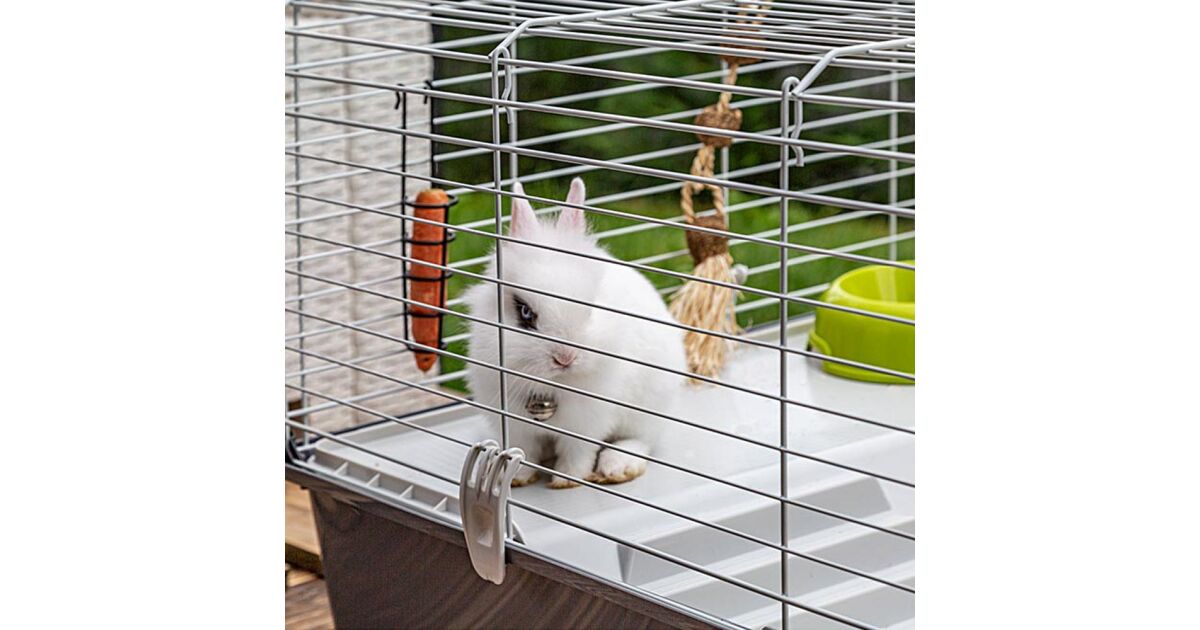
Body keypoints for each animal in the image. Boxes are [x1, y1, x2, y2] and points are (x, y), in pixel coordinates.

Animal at [464, 177, 687, 489]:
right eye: (525, 312)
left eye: (590, 308)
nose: (565, 358)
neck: (552, 385)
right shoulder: (513, 420)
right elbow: (524, 449)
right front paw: (516, 477)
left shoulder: (587, 421)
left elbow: (578, 452)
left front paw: (566, 480)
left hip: (648, 407)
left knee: (640, 441)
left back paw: (617, 466)